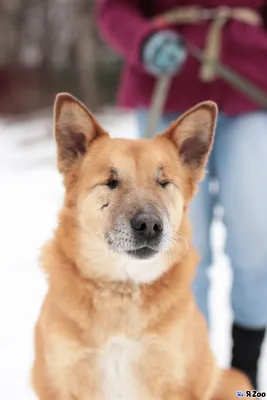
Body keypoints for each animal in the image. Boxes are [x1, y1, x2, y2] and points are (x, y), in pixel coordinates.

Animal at [31, 92, 253, 398]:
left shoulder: (176, 383)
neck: (123, 288)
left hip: (235, 380)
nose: (149, 225)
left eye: (164, 182)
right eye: (111, 181)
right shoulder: (61, 382)